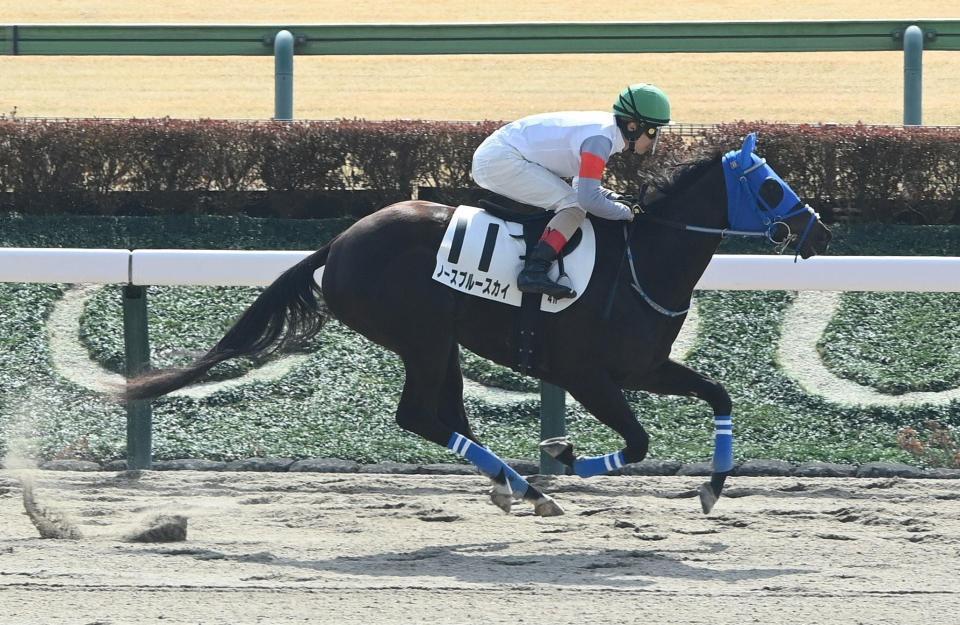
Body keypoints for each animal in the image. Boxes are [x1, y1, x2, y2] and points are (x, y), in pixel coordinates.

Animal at [125, 133, 832, 517]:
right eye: (771, 187)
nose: (819, 232)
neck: (641, 264)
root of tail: (339, 243)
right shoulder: (586, 373)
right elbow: (637, 442)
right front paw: (563, 453)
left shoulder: (646, 366)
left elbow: (719, 394)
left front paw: (713, 486)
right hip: (422, 337)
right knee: (418, 415)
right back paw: (528, 486)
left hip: (443, 342)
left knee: (449, 414)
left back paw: (518, 487)